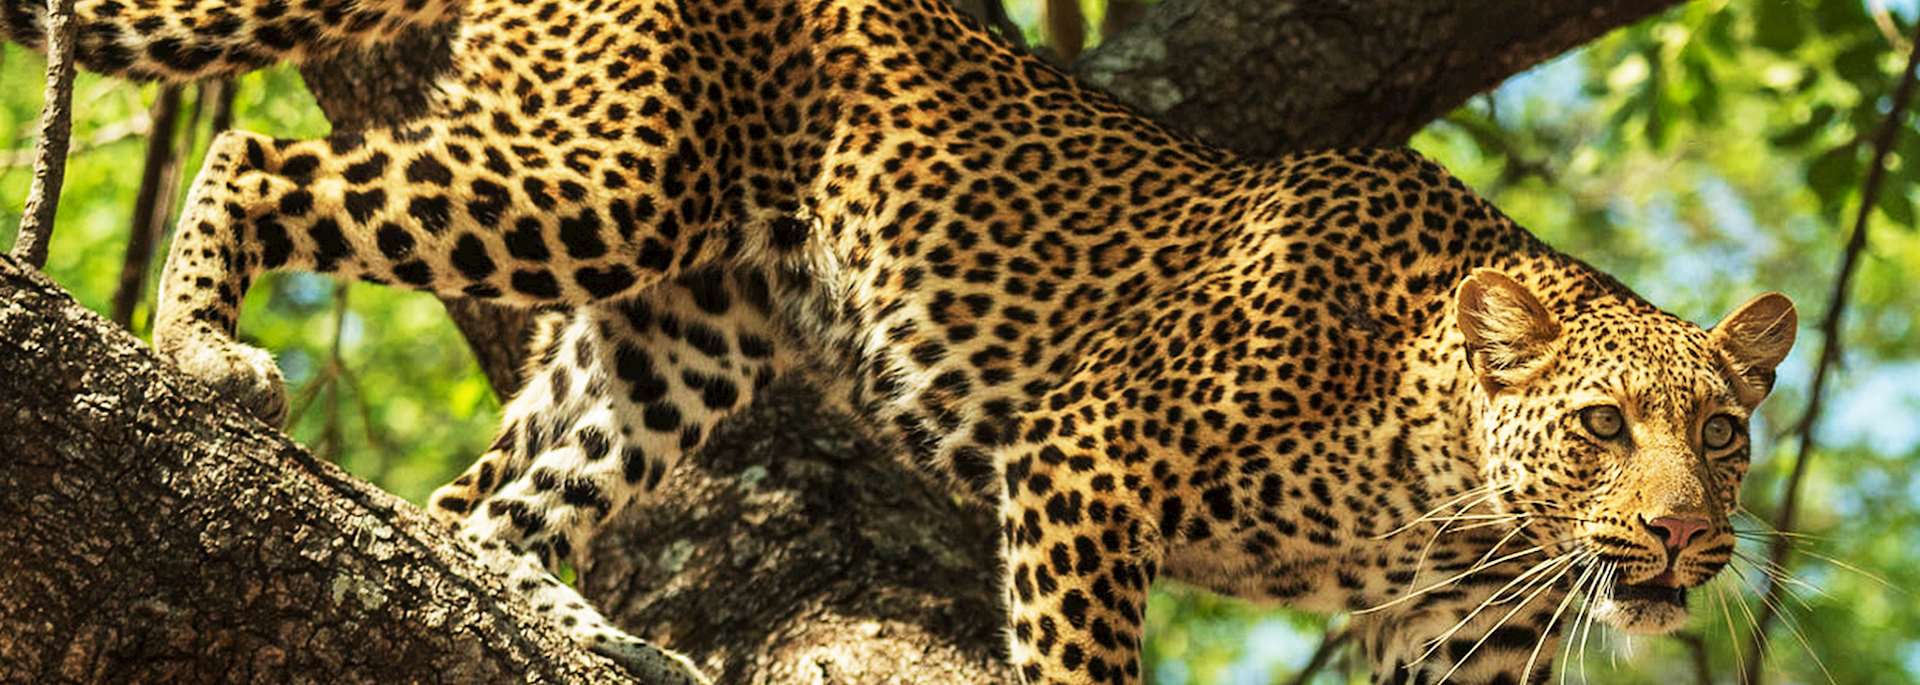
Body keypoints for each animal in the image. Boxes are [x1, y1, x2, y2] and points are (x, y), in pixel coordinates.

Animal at [1, 0, 1801, 682]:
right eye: (1600, 430)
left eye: (1721, 435)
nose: (1681, 541)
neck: (1454, 498)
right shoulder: (1090, 469)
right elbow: (1082, 664)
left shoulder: (1455, 643)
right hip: (600, 180)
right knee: (258, 157)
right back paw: (205, 352)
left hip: (681, 327)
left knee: (484, 507)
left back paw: (590, 632)